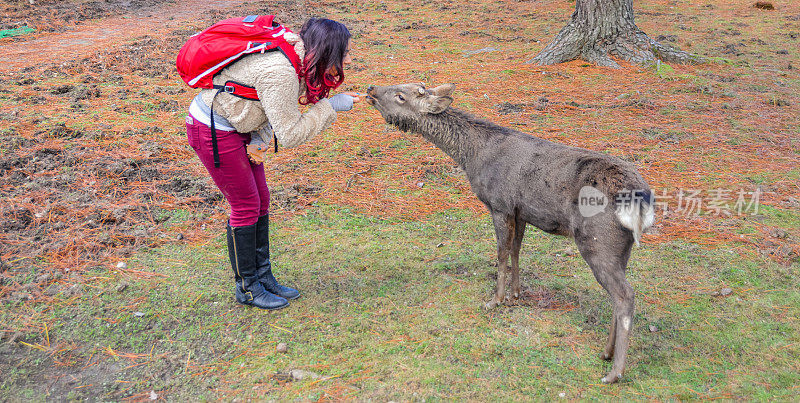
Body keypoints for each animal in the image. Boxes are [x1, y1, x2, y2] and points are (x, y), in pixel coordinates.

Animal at [368, 83, 656, 386]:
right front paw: (516, 293)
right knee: (617, 295)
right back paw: (606, 352)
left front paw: (495, 300)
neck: (472, 158)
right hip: (622, 248)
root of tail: (641, 201)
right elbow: (517, 250)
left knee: (625, 295)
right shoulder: (521, 212)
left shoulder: (499, 204)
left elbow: (501, 253)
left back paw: (614, 372)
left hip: (597, 241)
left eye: (401, 95)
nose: (371, 88)